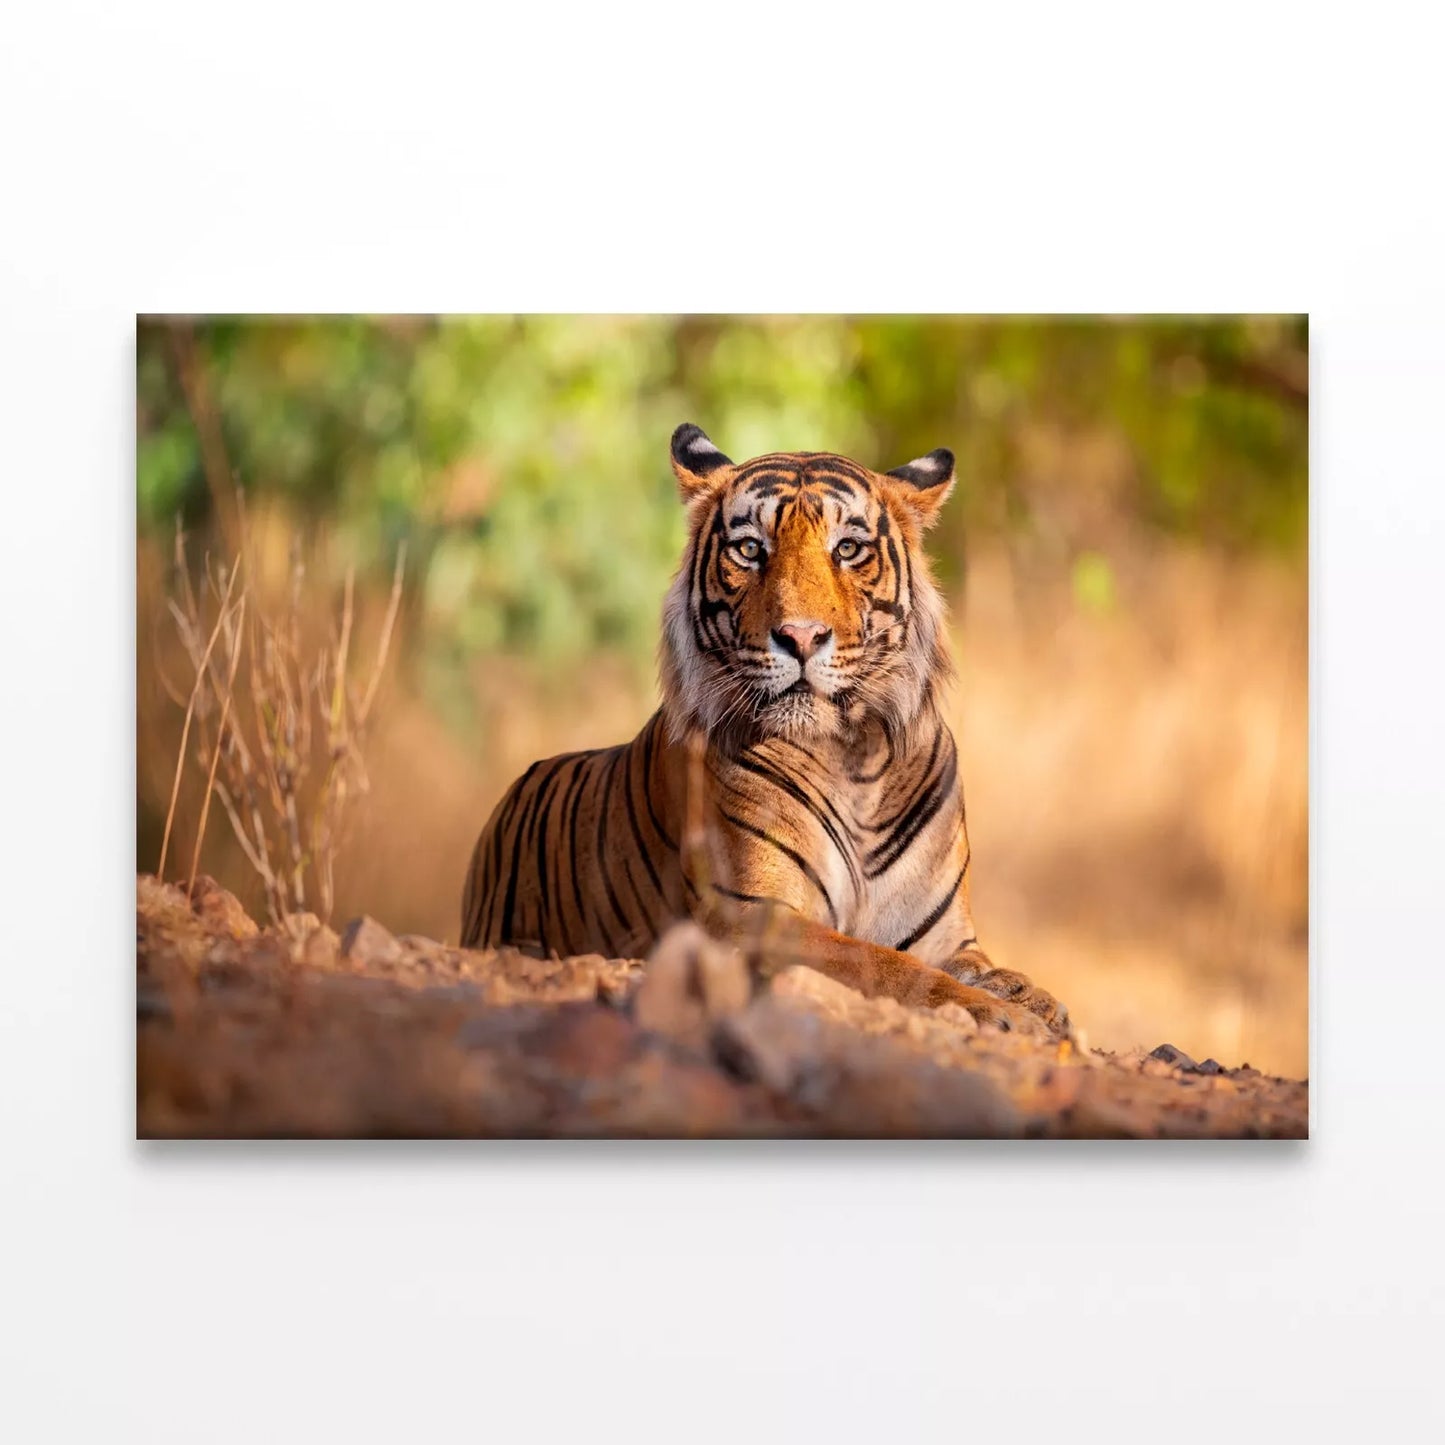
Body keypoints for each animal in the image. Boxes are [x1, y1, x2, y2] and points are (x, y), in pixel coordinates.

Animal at [459, 423, 1069, 1037]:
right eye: (751, 549)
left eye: (848, 549)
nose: (800, 637)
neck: (856, 761)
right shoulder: (752, 917)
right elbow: (879, 962)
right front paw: (999, 1014)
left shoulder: (944, 934)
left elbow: (979, 967)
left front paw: (1034, 999)